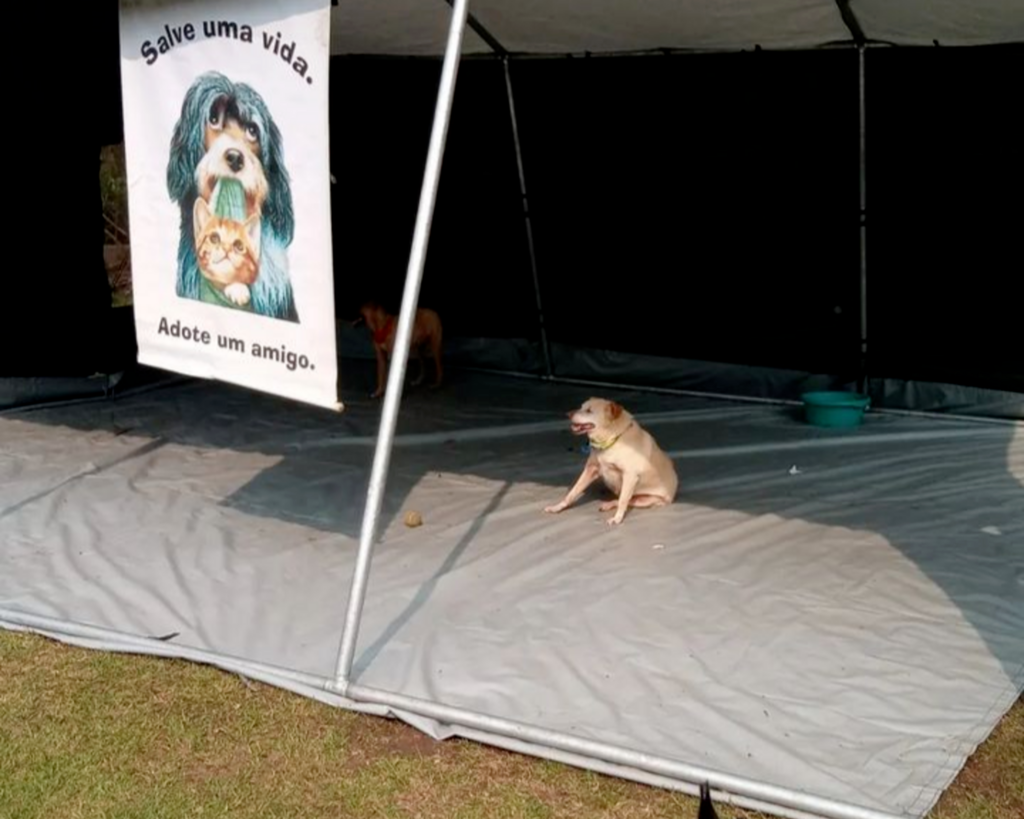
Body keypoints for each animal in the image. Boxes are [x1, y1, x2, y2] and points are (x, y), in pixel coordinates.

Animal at [544, 397, 679, 524]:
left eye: (589, 411)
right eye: (581, 407)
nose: (568, 414)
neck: (610, 440)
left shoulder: (630, 476)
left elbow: (623, 500)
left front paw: (617, 519)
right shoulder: (590, 469)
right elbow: (573, 492)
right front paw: (558, 507)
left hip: (645, 500)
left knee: (626, 501)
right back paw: (607, 505)